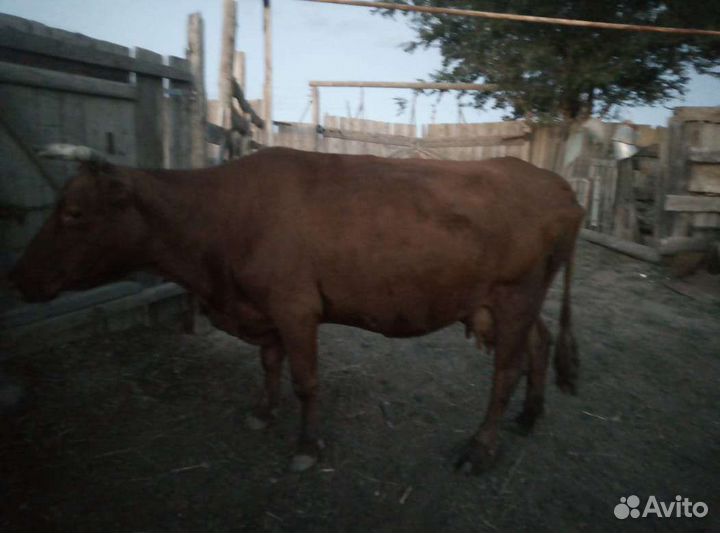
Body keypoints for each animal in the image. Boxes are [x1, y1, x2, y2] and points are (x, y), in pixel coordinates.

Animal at [10, 145, 583, 473]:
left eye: (74, 212)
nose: (17, 276)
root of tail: (558, 186)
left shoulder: (295, 307)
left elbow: (305, 381)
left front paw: (307, 445)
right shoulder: (262, 311)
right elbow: (269, 365)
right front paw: (262, 412)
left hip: (514, 294)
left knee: (505, 370)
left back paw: (480, 449)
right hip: (508, 301)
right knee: (540, 343)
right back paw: (530, 416)